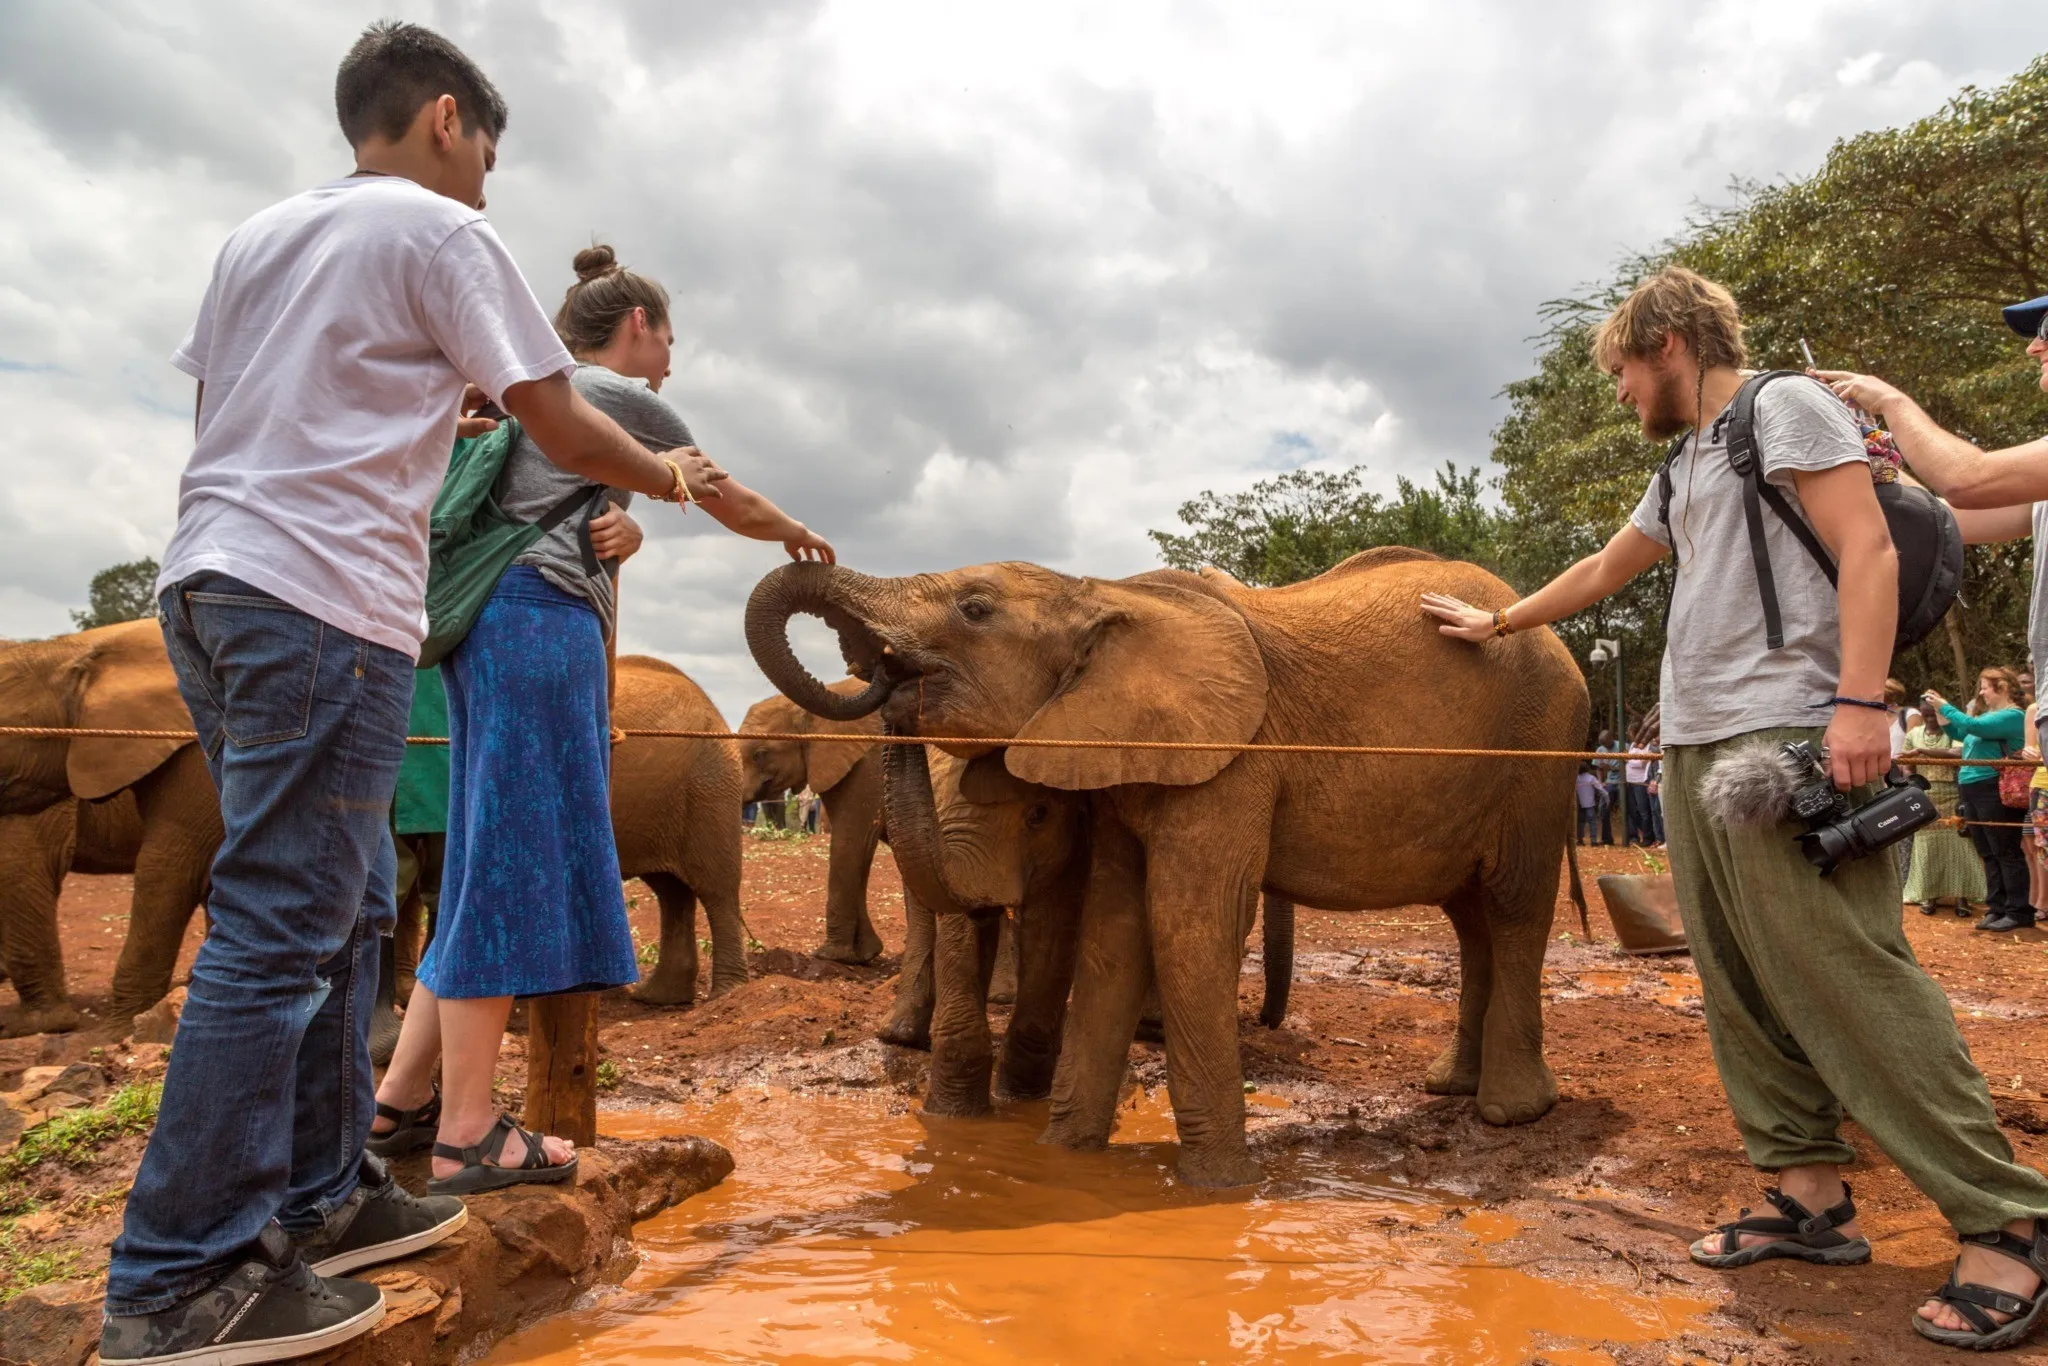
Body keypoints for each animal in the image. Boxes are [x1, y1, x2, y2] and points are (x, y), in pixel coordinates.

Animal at [746, 548, 1588, 1187]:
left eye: (975, 609)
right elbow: (1115, 933)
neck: (1103, 593)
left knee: (1513, 906)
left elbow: (1188, 924)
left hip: (1540, 754)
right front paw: (1062, 1161)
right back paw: (1452, 1086)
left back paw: (1510, 1111)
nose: (888, 680)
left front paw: (1221, 1188)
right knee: (1471, 918)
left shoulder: (1234, 758)